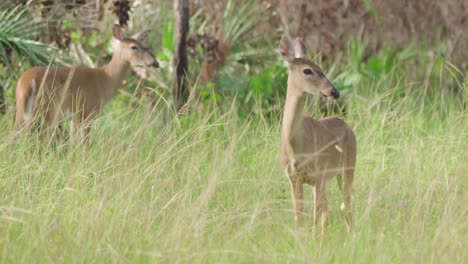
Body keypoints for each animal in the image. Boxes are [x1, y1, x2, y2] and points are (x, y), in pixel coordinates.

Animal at [14, 24, 159, 142]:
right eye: (134, 47)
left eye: (146, 46)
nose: (154, 63)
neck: (106, 79)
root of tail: (27, 81)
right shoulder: (88, 112)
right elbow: (85, 145)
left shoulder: (74, 118)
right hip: (48, 109)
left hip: (23, 110)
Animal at [280, 36, 356, 232]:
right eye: (307, 70)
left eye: (321, 67)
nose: (334, 92)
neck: (295, 145)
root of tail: (347, 125)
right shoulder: (294, 178)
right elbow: (299, 219)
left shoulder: (318, 175)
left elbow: (313, 218)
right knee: (329, 211)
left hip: (347, 167)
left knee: (347, 207)